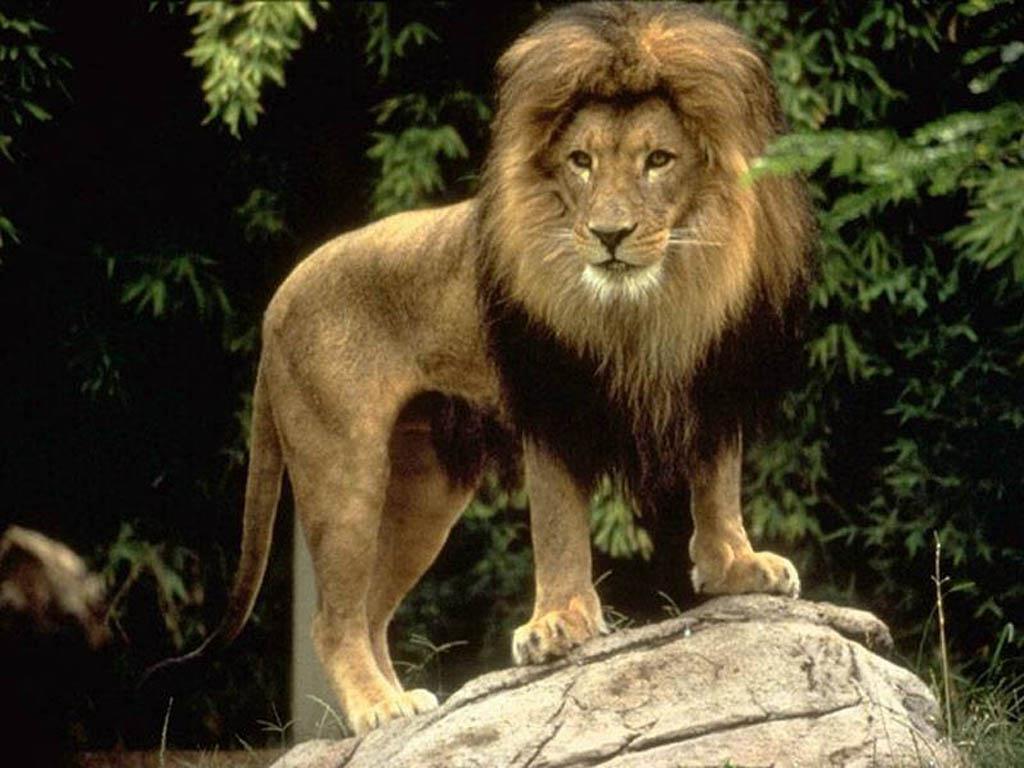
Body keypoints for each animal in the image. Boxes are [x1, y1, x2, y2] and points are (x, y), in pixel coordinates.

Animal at [157, 2, 813, 735]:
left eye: (659, 160)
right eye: (581, 162)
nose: (609, 235)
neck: (649, 304)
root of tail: (278, 300)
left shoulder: (712, 380)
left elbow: (717, 486)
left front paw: (737, 567)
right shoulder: (551, 400)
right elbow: (558, 524)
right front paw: (558, 623)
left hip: (423, 491)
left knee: (371, 609)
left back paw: (404, 705)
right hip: (344, 468)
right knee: (335, 617)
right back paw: (378, 708)